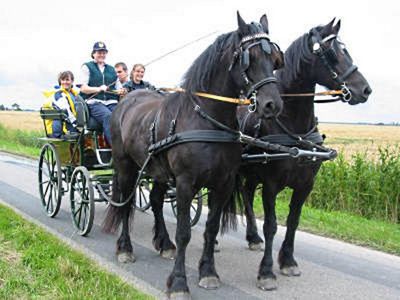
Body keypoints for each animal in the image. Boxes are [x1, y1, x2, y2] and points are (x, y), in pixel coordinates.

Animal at [238, 18, 372, 290]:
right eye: (332, 53)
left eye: (346, 49)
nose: (365, 90)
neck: (294, 128)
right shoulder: (271, 184)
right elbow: (272, 225)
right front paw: (266, 272)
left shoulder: (306, 184)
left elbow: (293, 221)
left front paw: (288, 261)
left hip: (252, 174)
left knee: (246, 194)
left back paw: (252, 237)